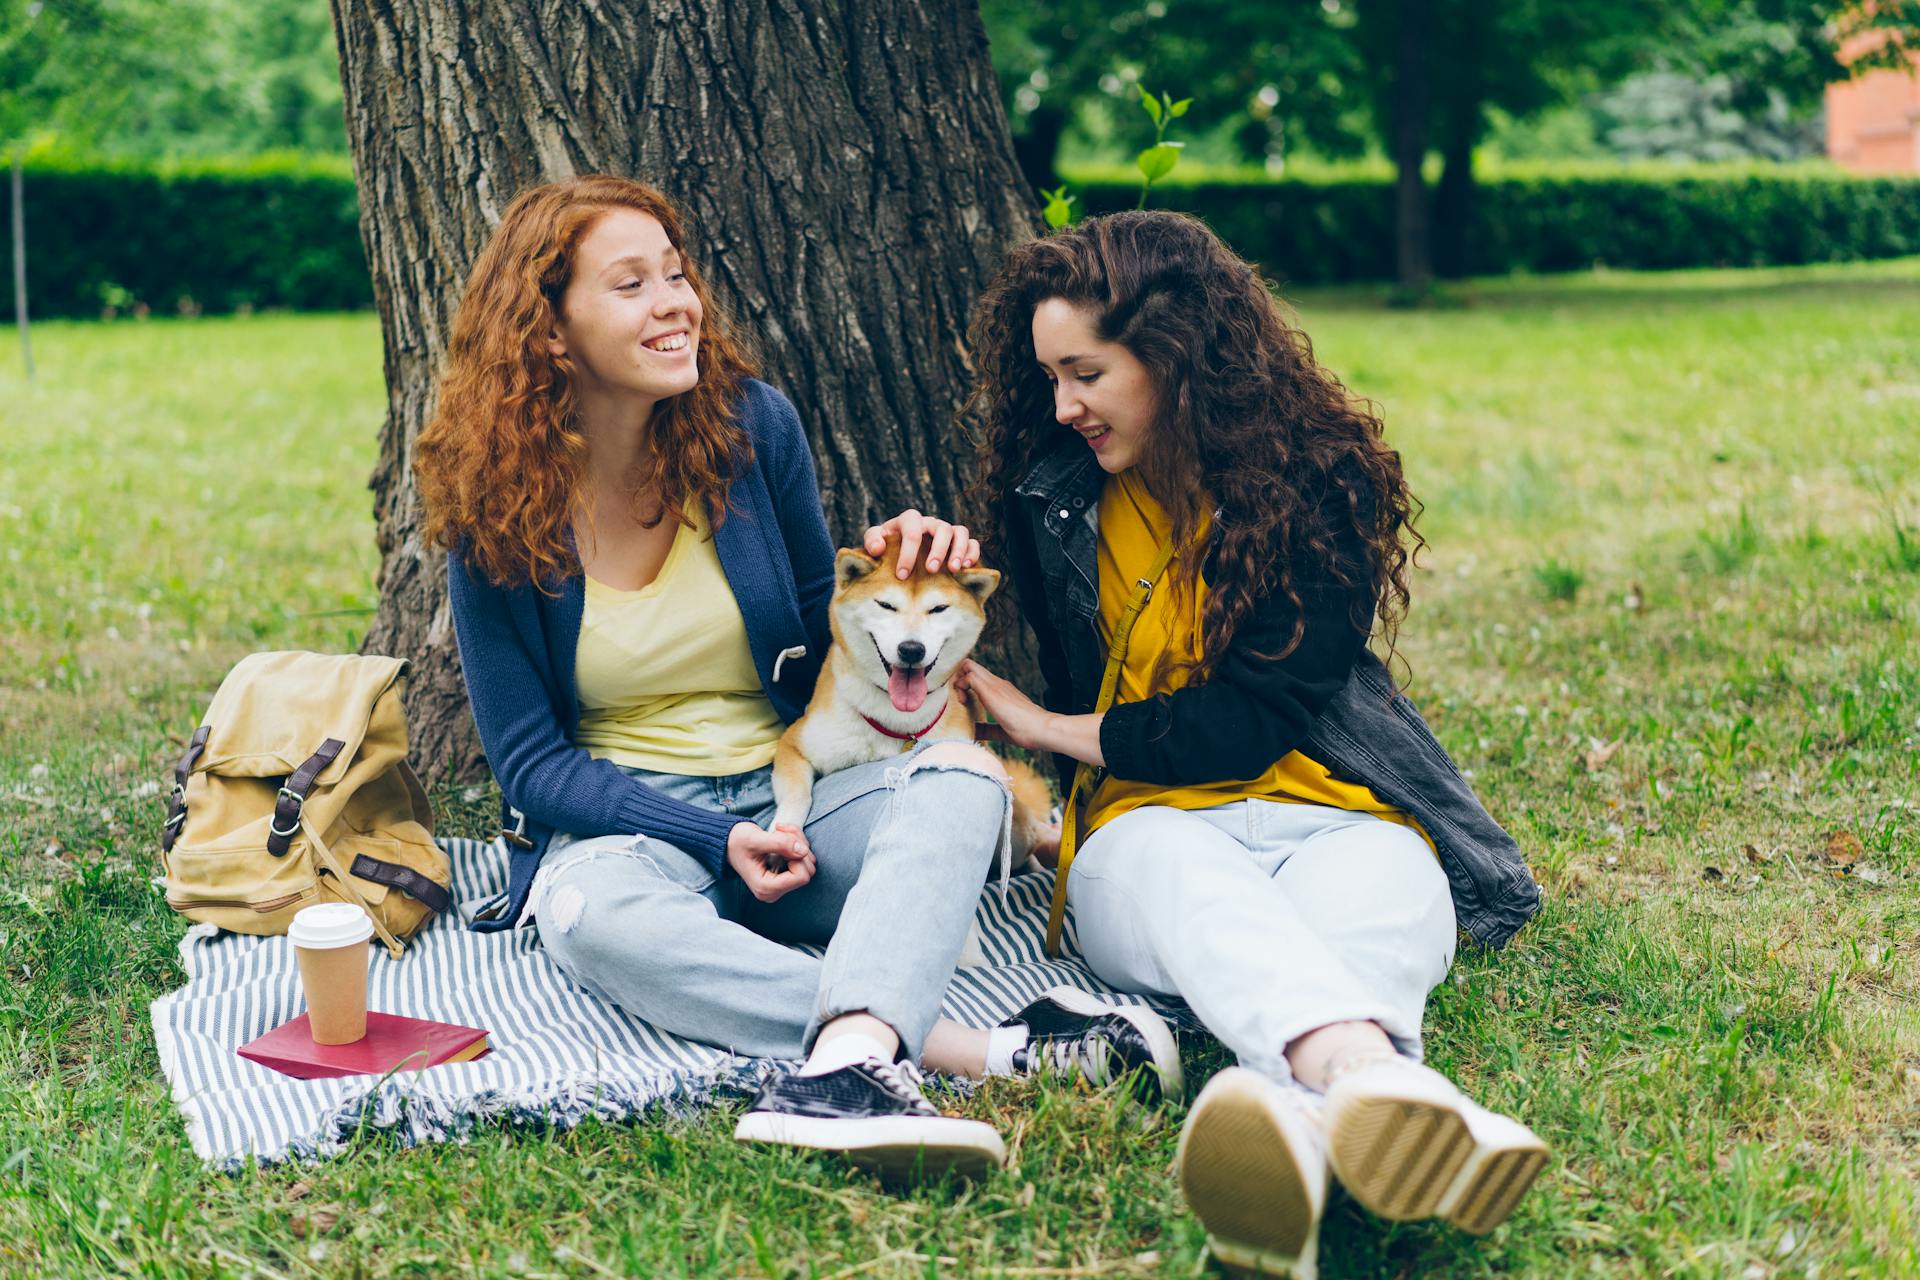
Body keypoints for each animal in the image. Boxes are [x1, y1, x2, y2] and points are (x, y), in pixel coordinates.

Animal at [771, 541, 1059, 890]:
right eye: (885, 605)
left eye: (939, 609)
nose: (911, 649)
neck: (897, 721)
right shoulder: (794, 743)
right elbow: (797, 794)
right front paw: (783, 839)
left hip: (1016, 831)